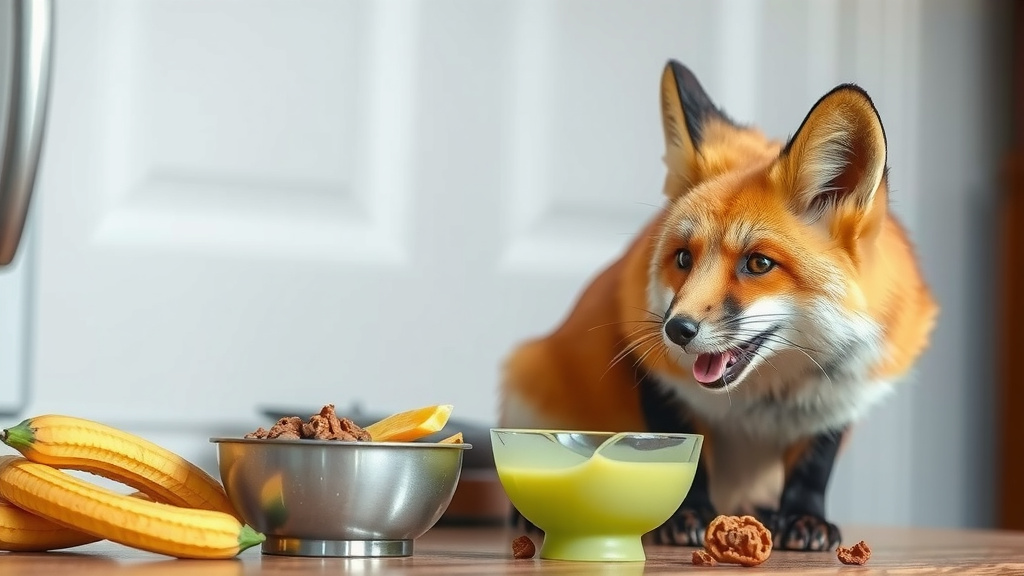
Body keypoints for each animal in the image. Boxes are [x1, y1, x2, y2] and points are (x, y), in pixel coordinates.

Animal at [497, 60, 938, 552]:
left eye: (758, 263)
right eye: (683, 259)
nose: (676, 330)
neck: (762, 400)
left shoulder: (842, 392)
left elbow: (813, 467)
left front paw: (805, 518)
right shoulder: (651, 367)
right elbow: (671, 445)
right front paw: (686, 514)